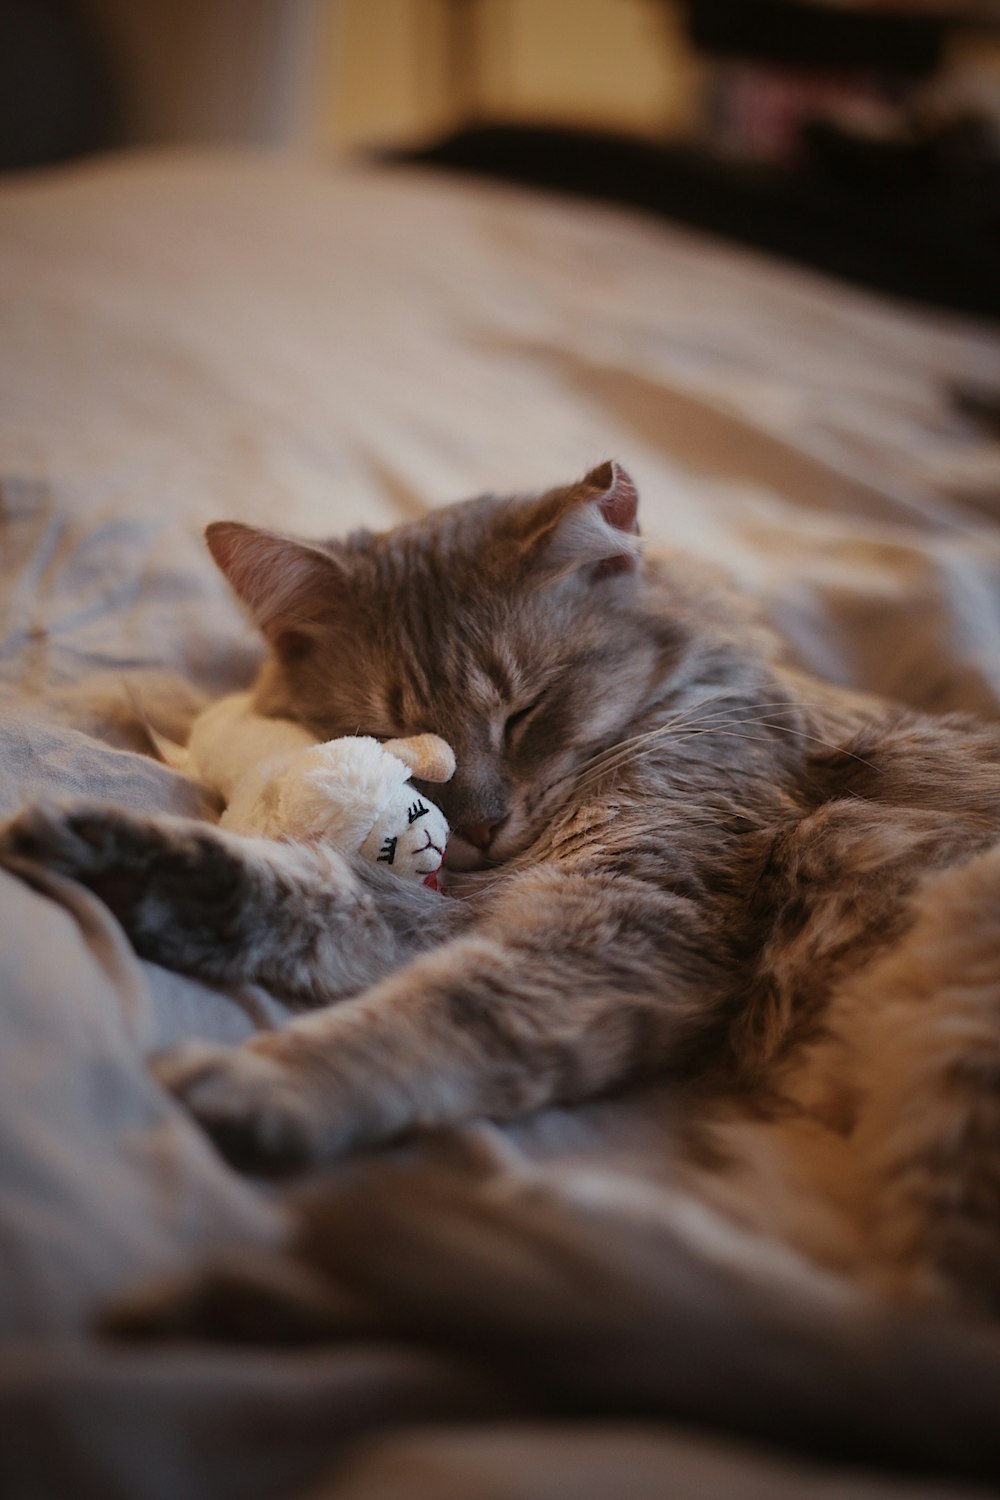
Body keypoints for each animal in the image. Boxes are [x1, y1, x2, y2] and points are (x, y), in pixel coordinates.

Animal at [5, 462, 1000, 1320]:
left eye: (527, 713)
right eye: (395, 733)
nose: (479, 826)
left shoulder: (629, 908)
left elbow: (438, 1015)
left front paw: (266, 1084)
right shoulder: (495, 904)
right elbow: (328, 903)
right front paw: (132, 867)